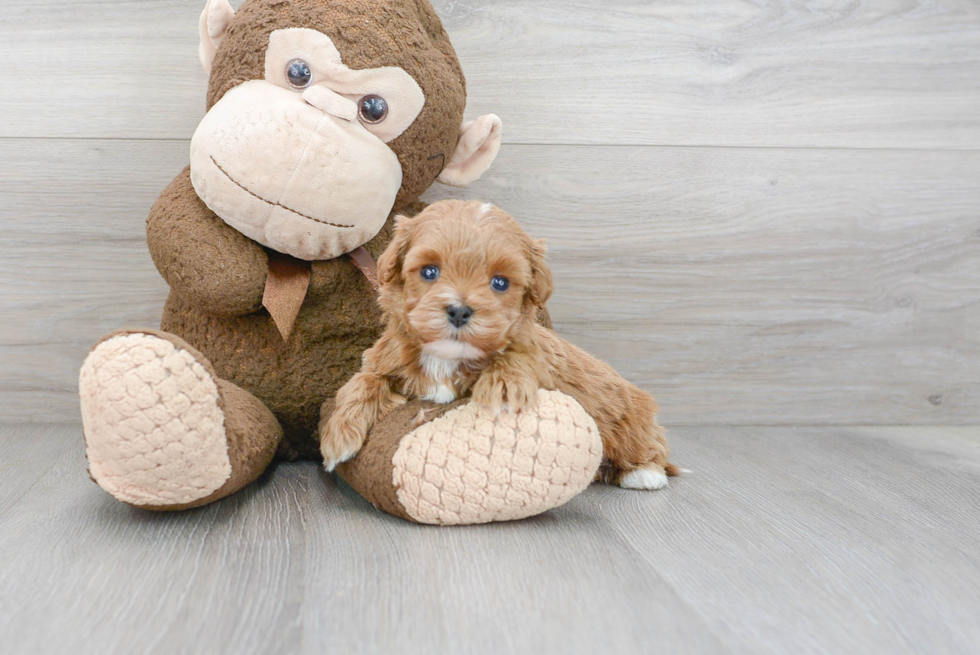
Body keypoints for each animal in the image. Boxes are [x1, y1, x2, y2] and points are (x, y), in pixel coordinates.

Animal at [318, 202, 676, 490]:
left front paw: (503, 390)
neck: (446, 357)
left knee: (648, 446)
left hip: (631, 417)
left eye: (500, 283)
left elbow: (517, 356)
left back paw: (644, 474)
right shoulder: (387, 359)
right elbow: (363, 381)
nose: (459, 311)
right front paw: (339, 435)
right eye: (429, 271)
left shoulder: (532, 353)